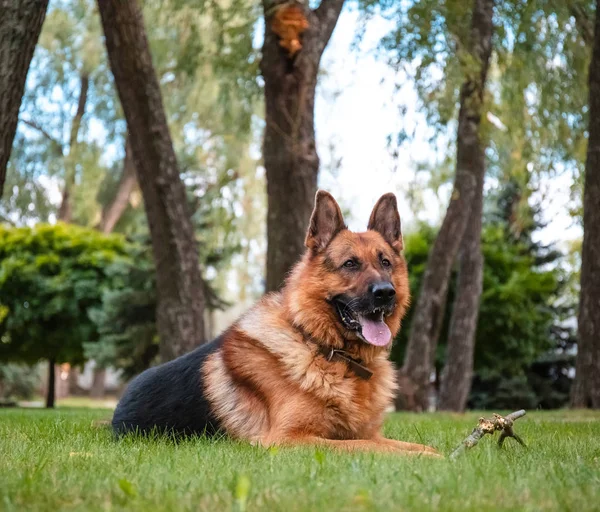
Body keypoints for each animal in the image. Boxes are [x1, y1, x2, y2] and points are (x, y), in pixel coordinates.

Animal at [112, 191, 438, 456]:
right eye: (350, 264)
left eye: (385, 263)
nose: (385, 293)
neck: (322, 349)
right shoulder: (288, 440)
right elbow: (370, 447)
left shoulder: (368, 433)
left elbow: (410, 445)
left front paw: (439, 454)